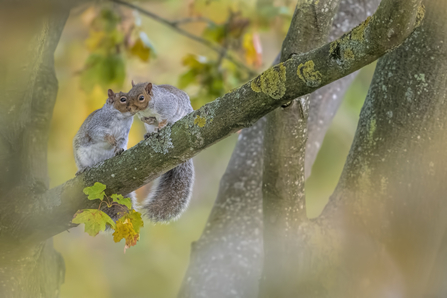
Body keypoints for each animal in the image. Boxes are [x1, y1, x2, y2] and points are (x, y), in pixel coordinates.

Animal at [72, 88, 136, 221]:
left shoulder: (123, 135)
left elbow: (120, 143)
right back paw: (83, 169)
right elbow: (99, 134)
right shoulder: (96, 125)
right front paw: (111, 140)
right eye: (123, 99)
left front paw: (118, 149)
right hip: (81, 156)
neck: (121, 118)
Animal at [127, 80, 195, 222]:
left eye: (141, 98)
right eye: (128, 95)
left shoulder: (168, 105)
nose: (130, 109)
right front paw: (149, 120)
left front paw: (161, 125)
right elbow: (146, 119)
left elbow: (164, 118)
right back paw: (149, 134)